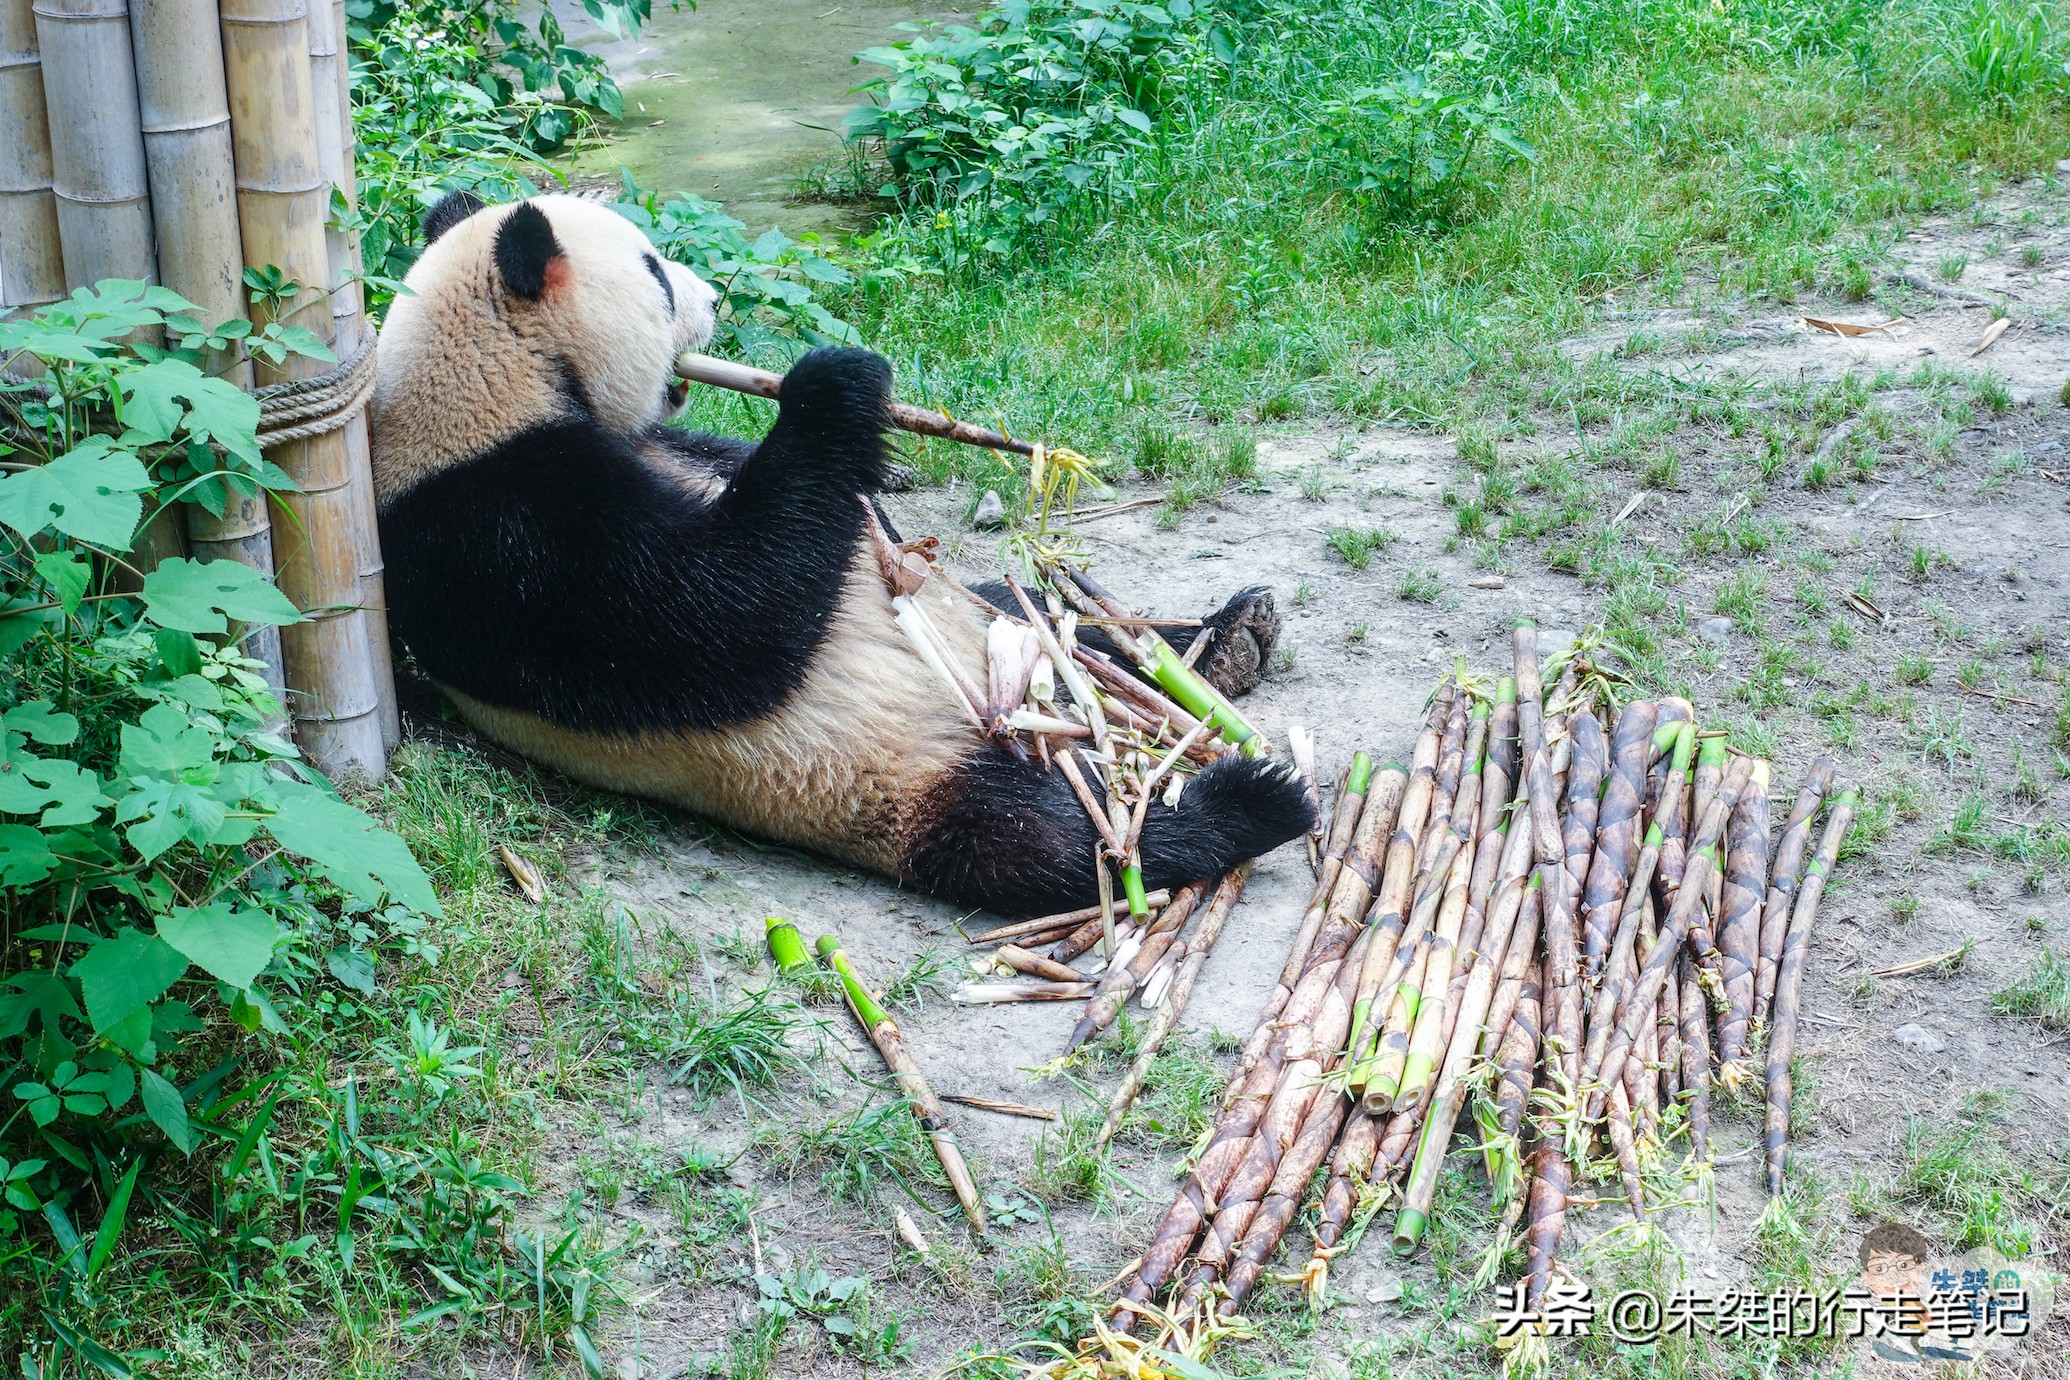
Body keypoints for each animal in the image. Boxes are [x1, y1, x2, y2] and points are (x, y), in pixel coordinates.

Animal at [370, 189, 1308, 910]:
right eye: (653, 270)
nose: (716, 302)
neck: (488, 386)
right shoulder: (496, 533)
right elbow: (720, 615)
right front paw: (834, 382)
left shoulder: (654, 450)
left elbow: (786, 500)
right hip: (896, 783)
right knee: (1046, 843)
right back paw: (1244, 801)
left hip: (1005, 644)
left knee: (1046, 616)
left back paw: (1218, 642)